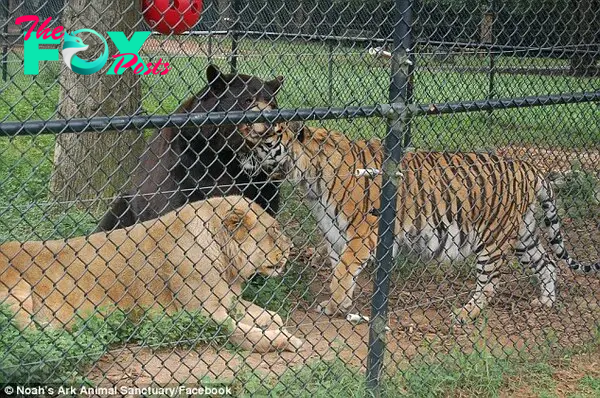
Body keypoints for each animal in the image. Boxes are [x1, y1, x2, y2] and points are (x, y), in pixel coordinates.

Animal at [0, 195, 300, 352]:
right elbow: (247, 333)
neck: (228, 264)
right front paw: (288, 340)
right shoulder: (203, 316)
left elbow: (270, 315)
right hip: (17, 293)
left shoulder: (228, 301)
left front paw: (276, 324)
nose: (292, 248)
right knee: (28, 339)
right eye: (274, 231)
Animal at [97, 63, 284, 230]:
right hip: (128, 202)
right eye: (248, 100)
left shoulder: (261, 182)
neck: (227, 151)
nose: (270, 122)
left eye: (273, 104)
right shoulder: (187, 165)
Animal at [240, 122, 600, 324]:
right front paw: (337, 305)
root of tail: (530, 167)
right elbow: (340, 270)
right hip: (523, 234)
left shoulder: (363, 232)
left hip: (493, 239)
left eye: (260, 143)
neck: (308, 177)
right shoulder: (334, 233)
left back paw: (464, 315)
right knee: (547, 264)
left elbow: (342, 271)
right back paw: (545, 302)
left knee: (490, 283)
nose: (239, 158)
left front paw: (337, 302)